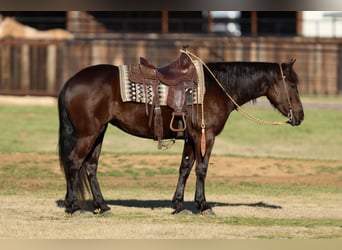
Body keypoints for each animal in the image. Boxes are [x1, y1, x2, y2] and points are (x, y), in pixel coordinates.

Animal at [57, 50, 304, 215]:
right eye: (292, 85)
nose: (300, 116)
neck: (216, 88)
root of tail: (72, 80)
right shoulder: (205, 136)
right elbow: (202, 169)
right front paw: (203, 206)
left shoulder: (191, 138)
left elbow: (185, 168)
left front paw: (178, 204)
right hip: (88, 134)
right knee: (74, 162)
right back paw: (73, 207)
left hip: (99, 133)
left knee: (90, 167)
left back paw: (102, 205)